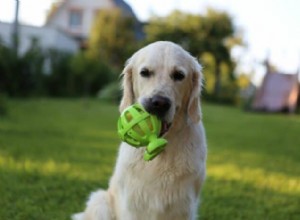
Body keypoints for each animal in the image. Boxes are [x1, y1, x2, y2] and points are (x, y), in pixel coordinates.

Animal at [72, 40, 207, 218]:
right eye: (145, 72)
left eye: (179, 75)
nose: (159, 103)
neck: (160, 155)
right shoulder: (132, 206)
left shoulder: (184, 208)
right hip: (100, 202)